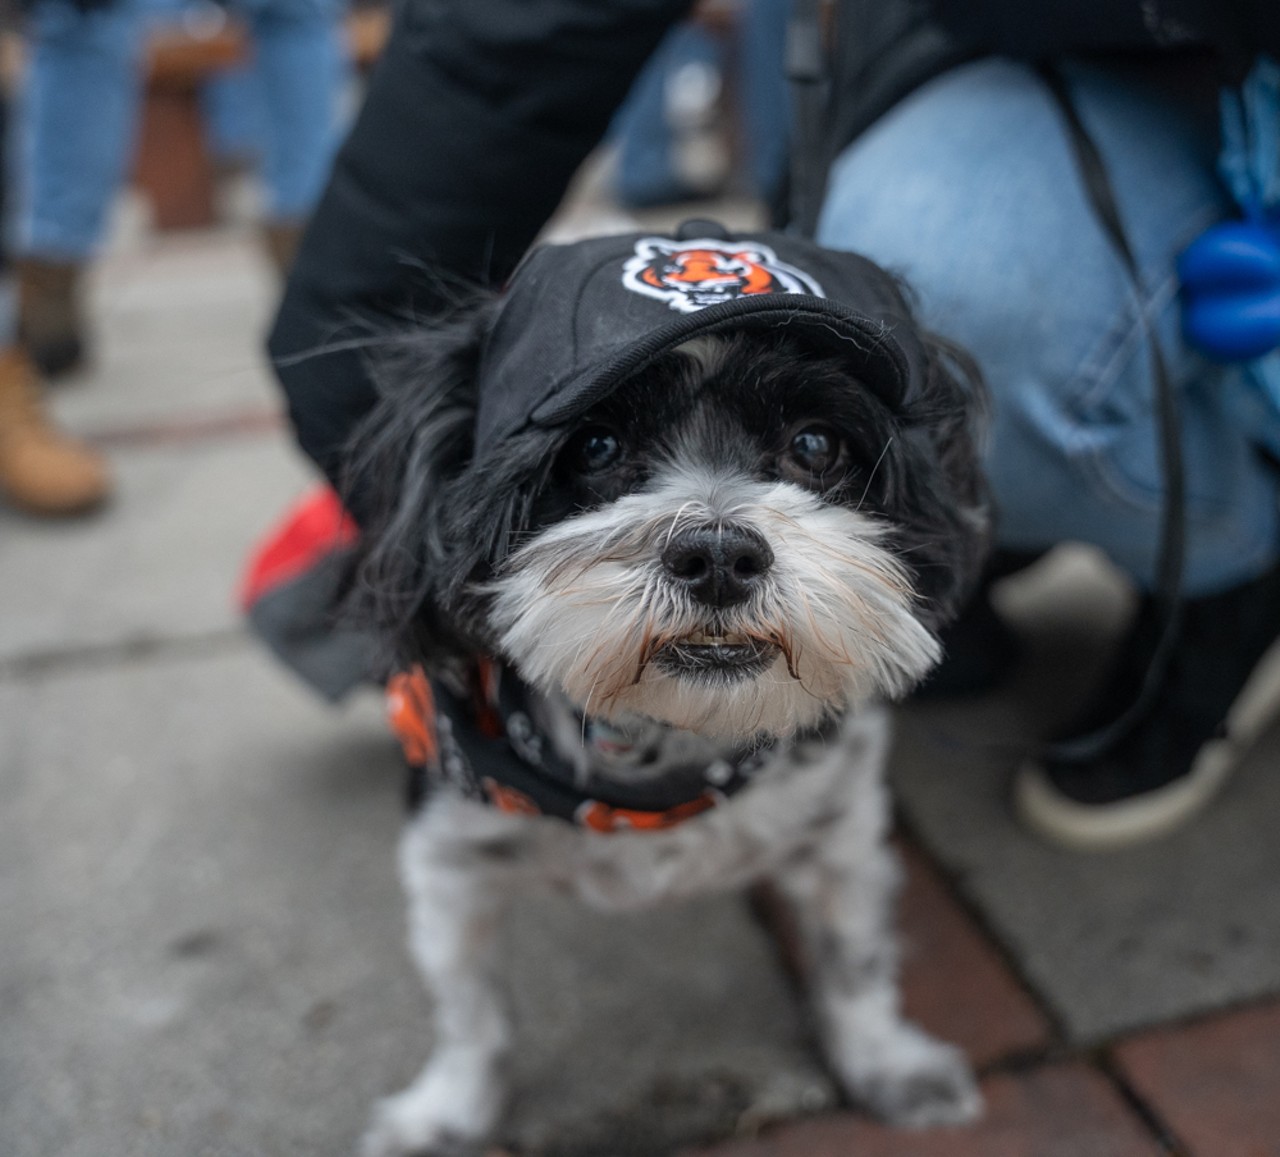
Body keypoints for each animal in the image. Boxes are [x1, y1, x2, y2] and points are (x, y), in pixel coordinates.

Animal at [348, 221, 988, 1151]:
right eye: (595, 447)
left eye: (816, 444)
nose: (717, 552)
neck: (669, 757)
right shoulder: (448, 856)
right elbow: (470, 1008)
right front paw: (447, 1113)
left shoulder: (841, 831)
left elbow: (854, 961)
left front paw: (888, 1065)